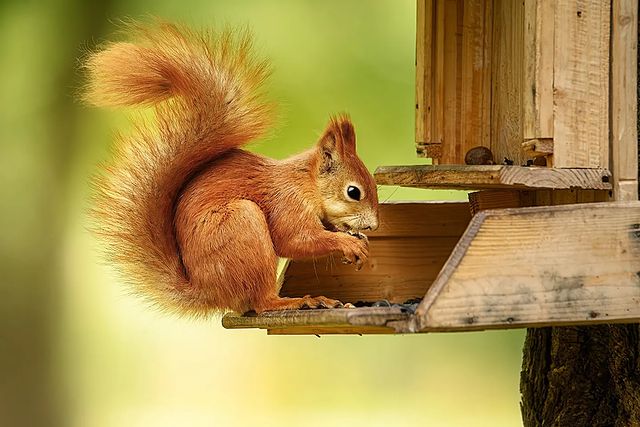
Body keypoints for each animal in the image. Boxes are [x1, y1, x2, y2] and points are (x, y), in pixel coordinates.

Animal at [84, 21, 379, 317]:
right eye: (353, 192)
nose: (374, 226)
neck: (305, 183)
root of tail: (209, 290)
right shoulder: (287, 203)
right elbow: (295, 240)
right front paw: (348, 243)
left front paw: (357, 238)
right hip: (242, 225)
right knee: (262, 302)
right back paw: (301, 300)